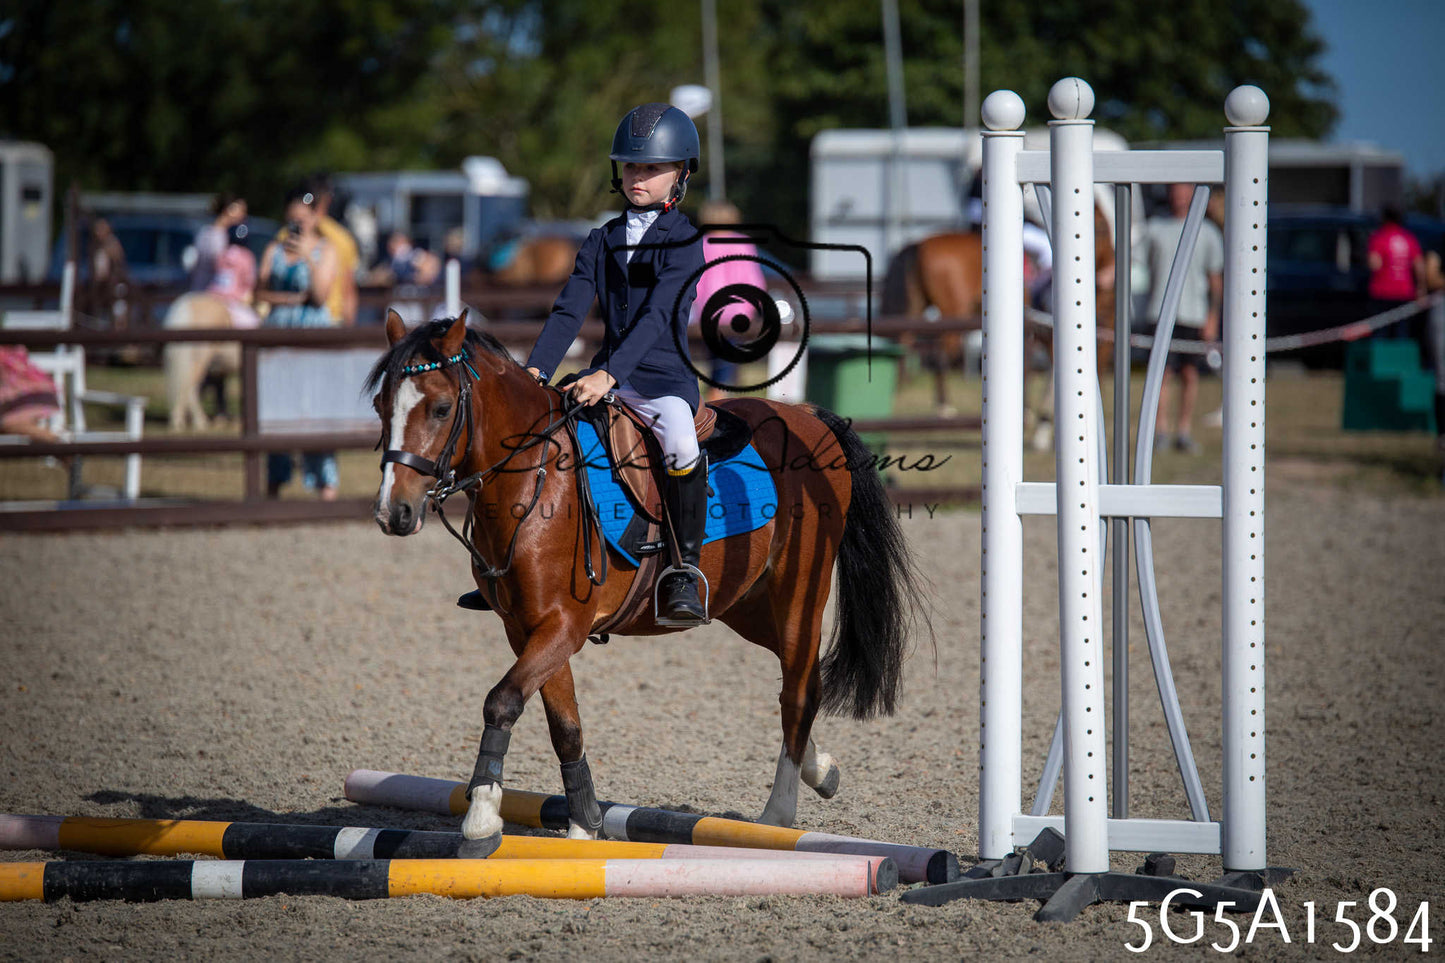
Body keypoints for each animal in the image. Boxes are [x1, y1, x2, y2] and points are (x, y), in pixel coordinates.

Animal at [367, 309, 929, 852]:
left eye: (441, 409)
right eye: (380, 406)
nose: (394, 514)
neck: (533, 480)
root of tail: (808, 416)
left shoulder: (563, 625)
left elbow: (502, 701)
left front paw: (482, 819)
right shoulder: (528, 628)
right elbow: (564, 726)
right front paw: (584, 827)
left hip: (796, 594)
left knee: (798, 692)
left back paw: (777, 817)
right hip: (742, 605)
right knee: (803, 678)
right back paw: (822, 770)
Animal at [880, 207, 1116, 447]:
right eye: (1101, 228)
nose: (1110, 271)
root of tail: (918, 245)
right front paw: (1043, 427)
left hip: (916, 307)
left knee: (905, 342)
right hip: (953, 312)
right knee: (940, 356)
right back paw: (944, 408)